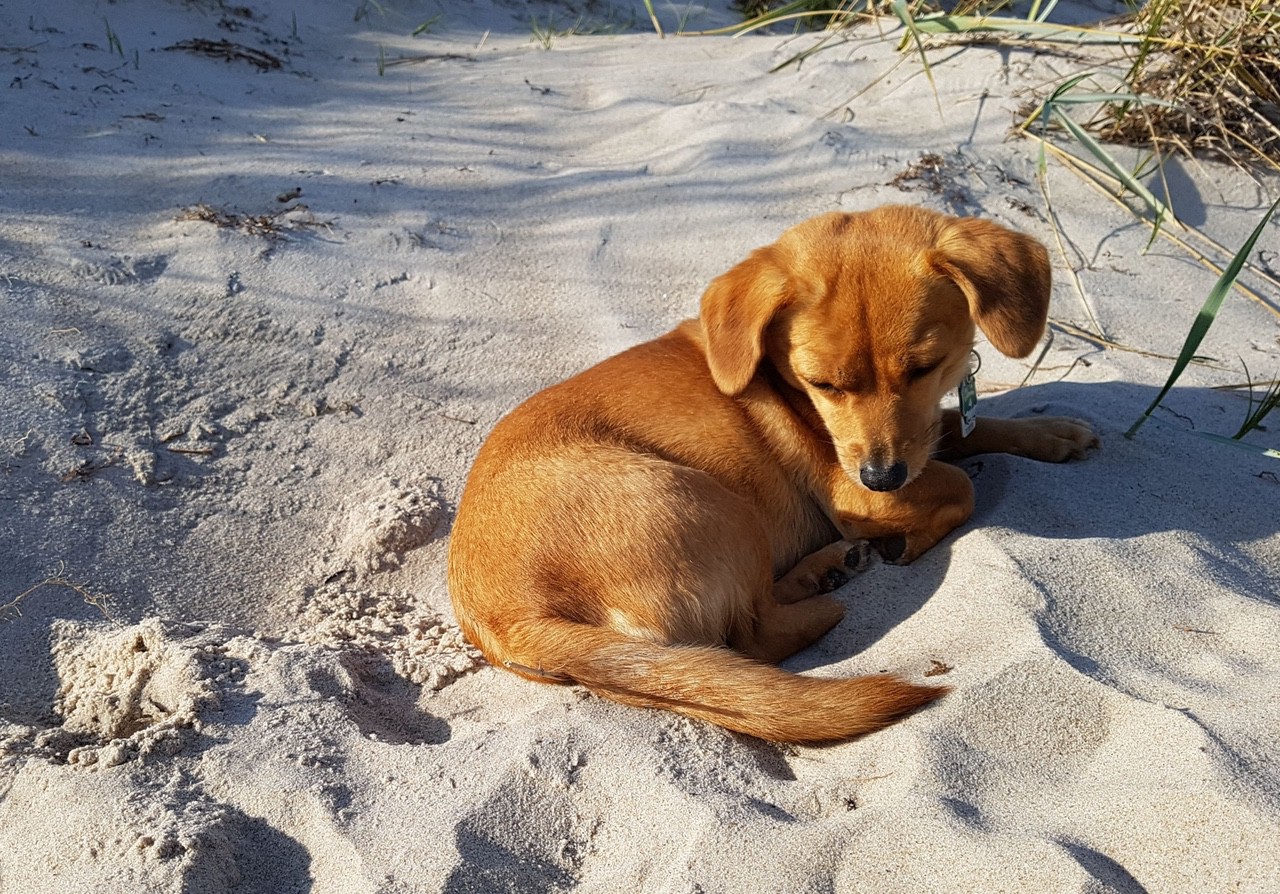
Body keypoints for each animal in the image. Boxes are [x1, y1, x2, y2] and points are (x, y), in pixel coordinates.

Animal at [448, 206, 1097, 743]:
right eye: (822, 383)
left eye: (924, 367)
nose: (881, 477)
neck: (780, 381)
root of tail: (509, 620)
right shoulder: (852, 492)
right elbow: (959, 483)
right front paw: (907, 538)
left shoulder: (916, 440)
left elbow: (957, 430)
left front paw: (1051, 433)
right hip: (710, 503)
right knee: (754, 634)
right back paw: (828, 589)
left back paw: (827, 568)